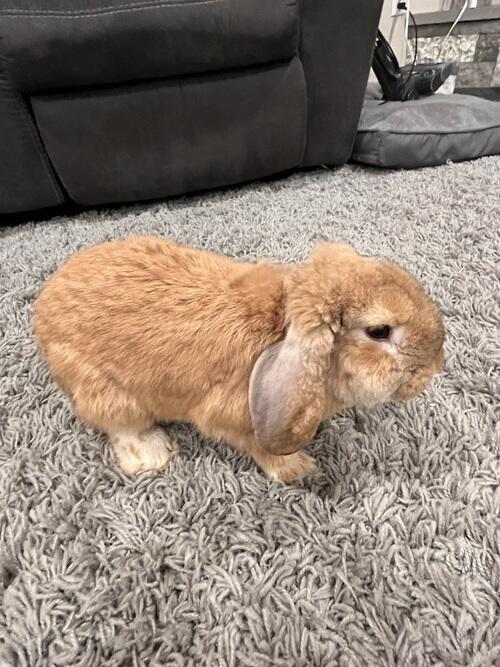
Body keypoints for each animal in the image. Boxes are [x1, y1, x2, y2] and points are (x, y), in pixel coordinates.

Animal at [33, 237, 444, 482]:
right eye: (379, 331)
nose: (434, 367)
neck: (282, 323)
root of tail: (42, 311)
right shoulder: (230, 417)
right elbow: (260, 447)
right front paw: (299, 468)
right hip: (105, 392)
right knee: (119, 425)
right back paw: (152, 454)